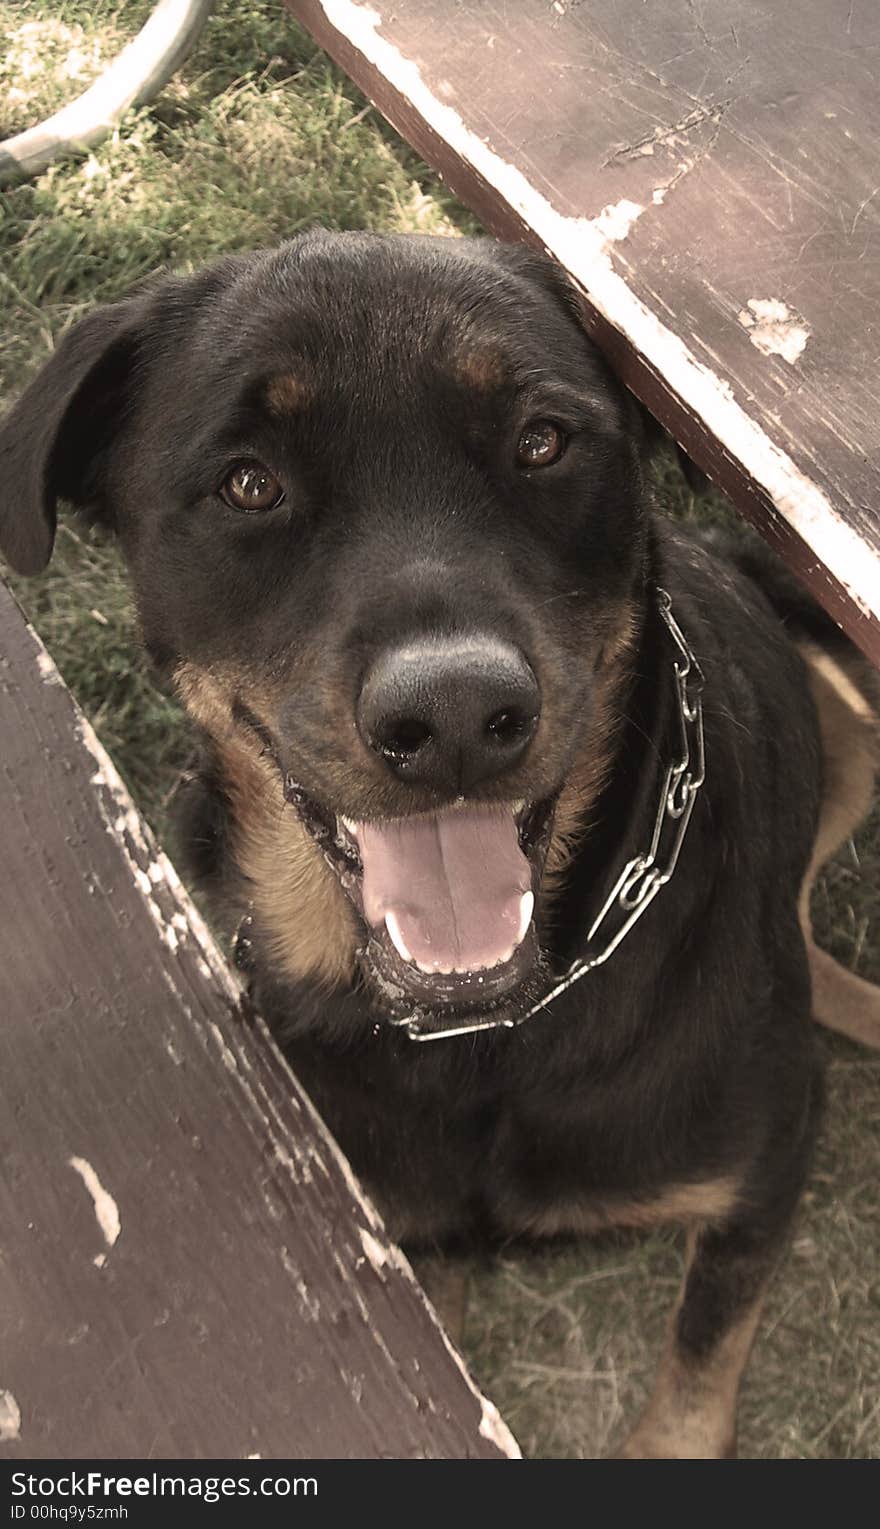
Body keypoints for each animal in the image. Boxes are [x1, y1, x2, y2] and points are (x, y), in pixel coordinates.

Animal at [1, 229, 880, 1455]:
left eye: (541, 440)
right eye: (249, 483)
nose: (456, 715)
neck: (488, 1031)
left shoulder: (763, 1172)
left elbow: (700, 1362)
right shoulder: (405, 1239)